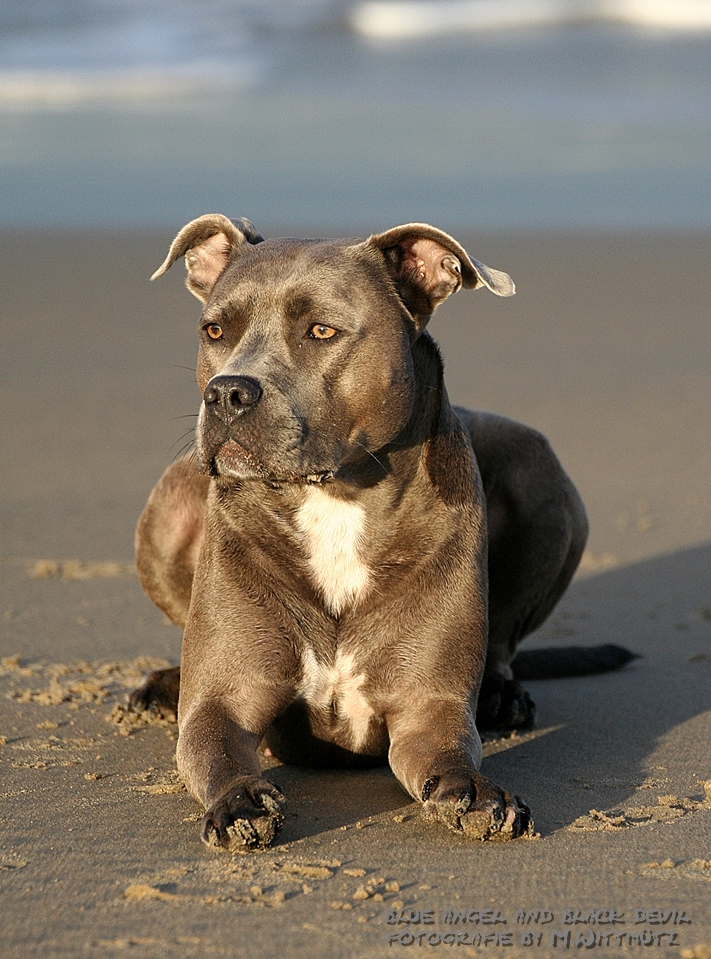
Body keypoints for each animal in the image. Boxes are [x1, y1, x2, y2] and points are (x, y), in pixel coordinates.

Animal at [126, 216, 588, 848]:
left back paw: (501, 694)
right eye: (215, 329)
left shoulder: (428, 708)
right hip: (168, 510)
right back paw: (162, 686)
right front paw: (238, 800)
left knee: (502, 643)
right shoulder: (224, 703)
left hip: (539, 471)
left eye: (322, 330)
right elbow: (214, 744)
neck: (335, 499)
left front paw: (471, 790)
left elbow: (448, 750)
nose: (225, 392)